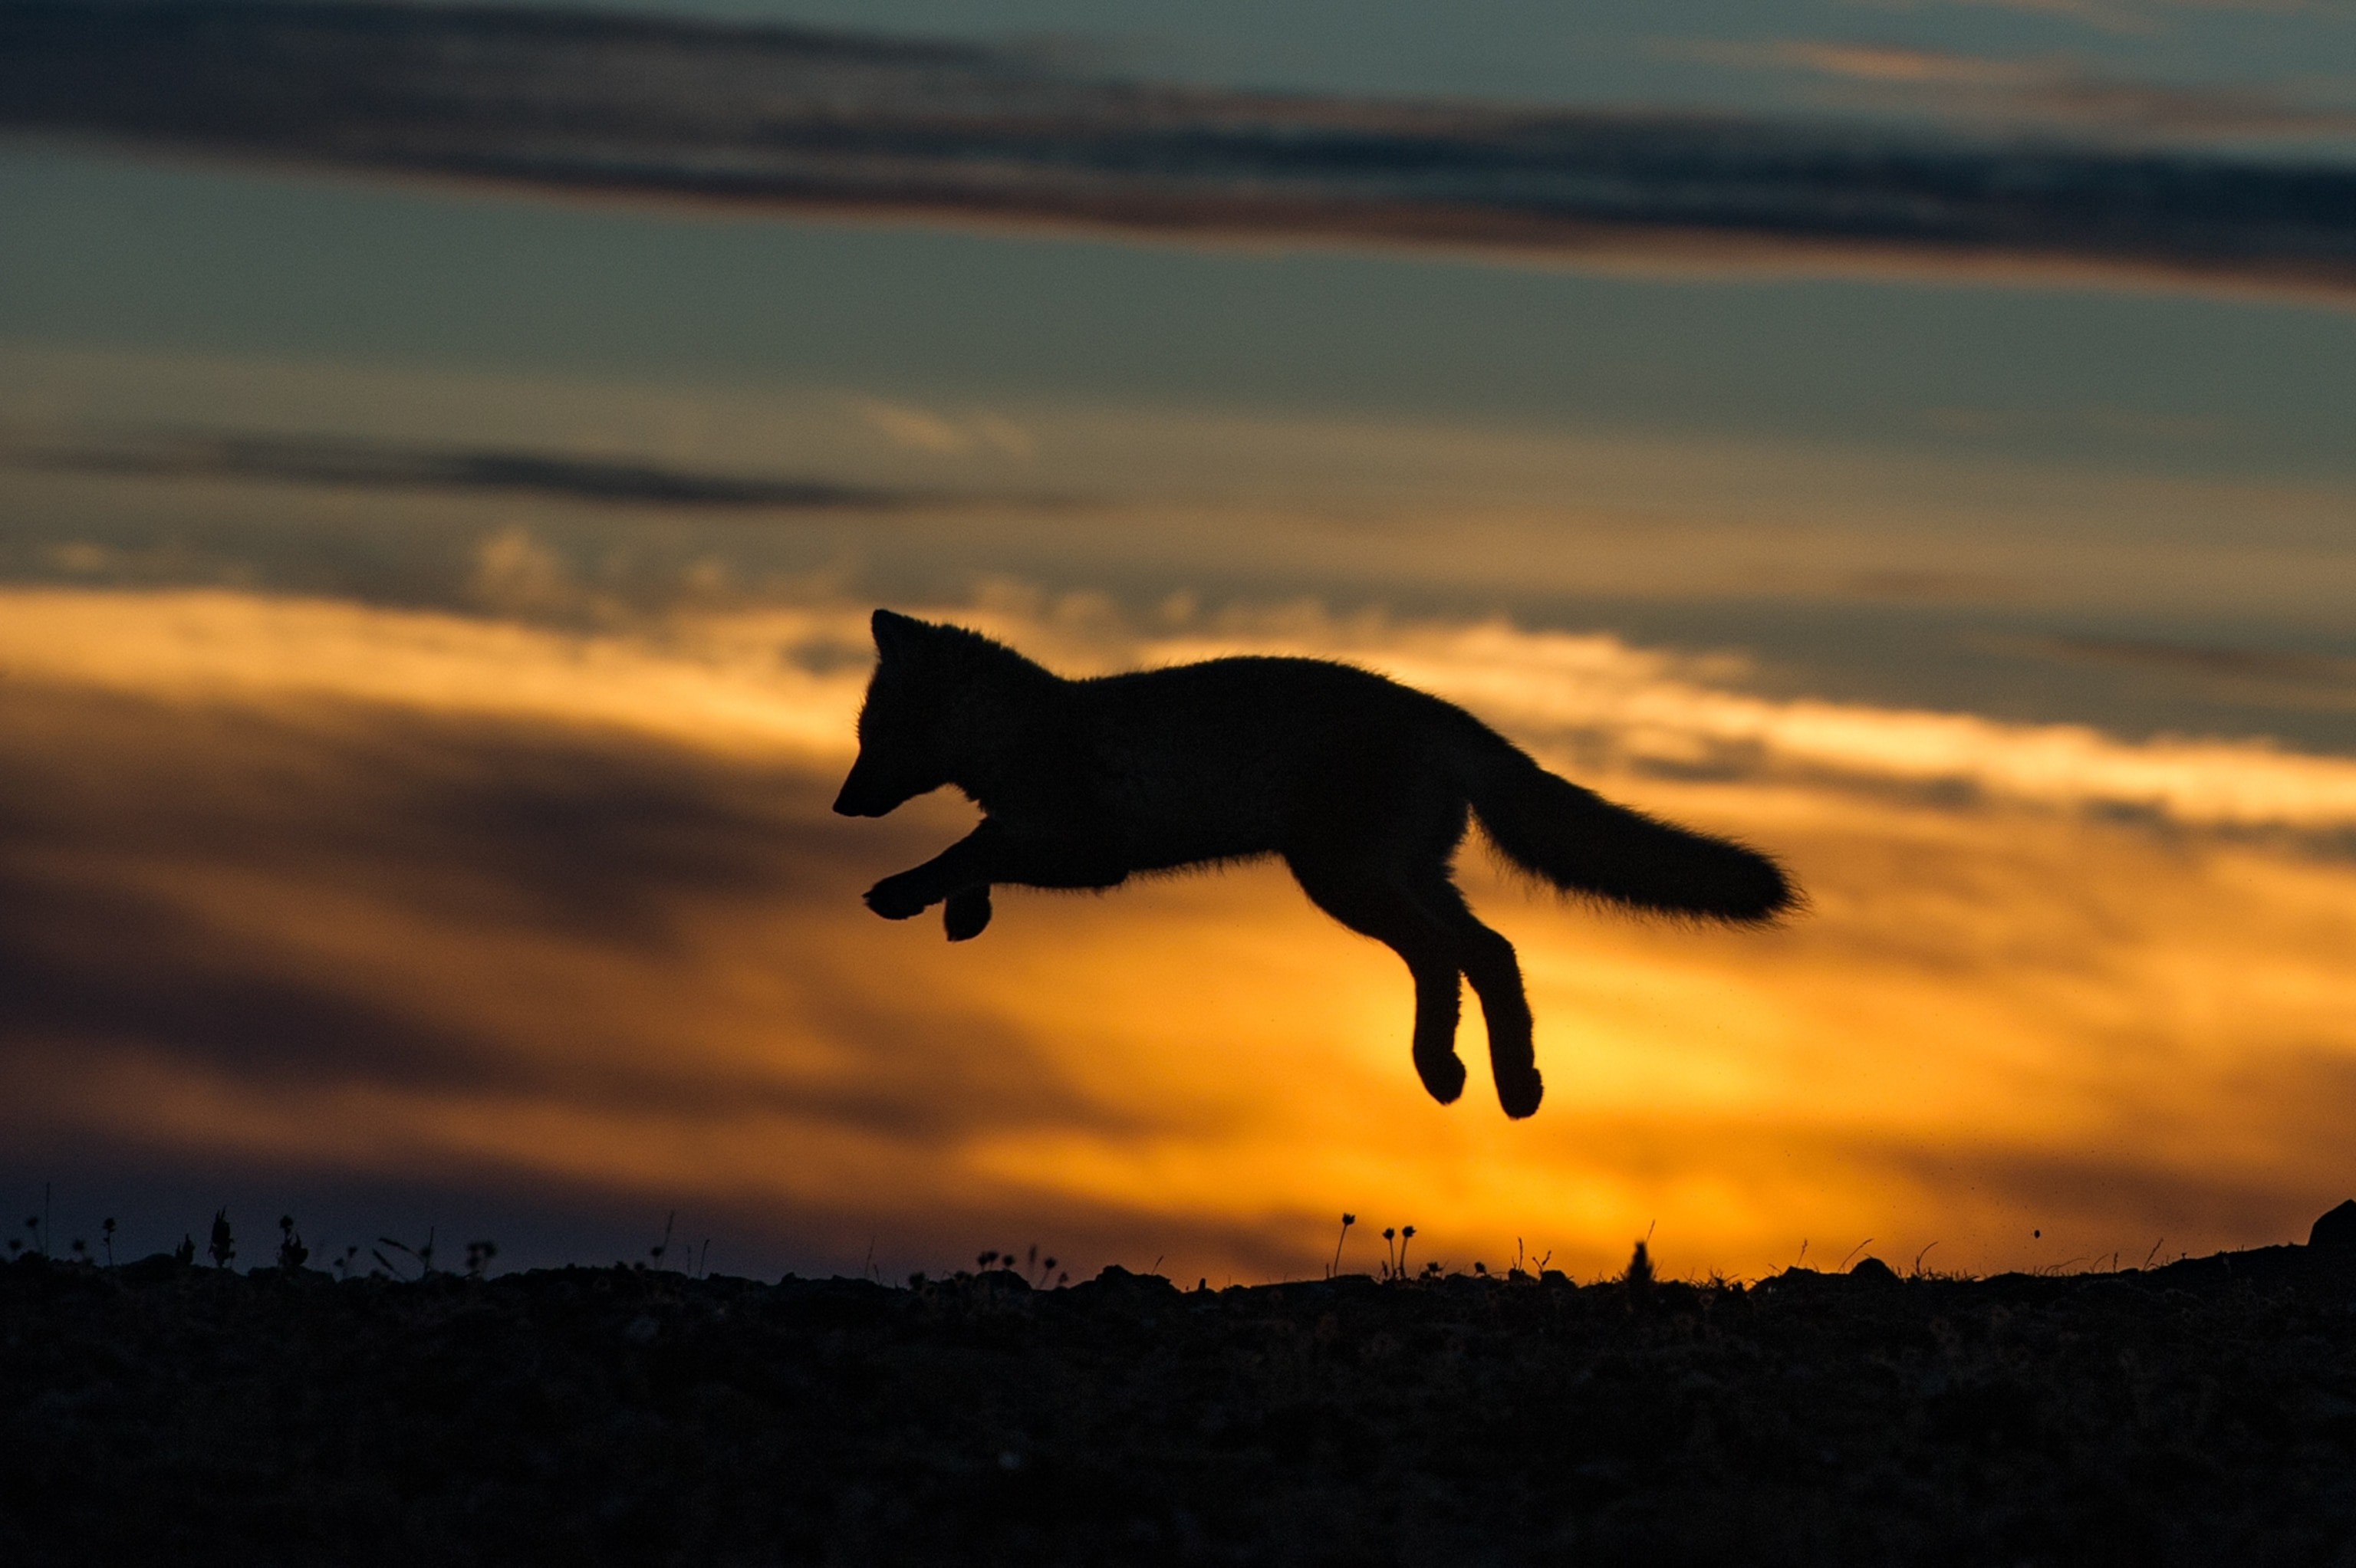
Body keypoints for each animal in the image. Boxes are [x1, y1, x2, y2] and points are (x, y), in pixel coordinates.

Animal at [838, 607, 1790, 1111]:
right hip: (1402, 875)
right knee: (1490, 950)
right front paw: (962, 912)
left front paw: (904, 892)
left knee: (1446, 954)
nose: (842, 804)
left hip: (1347, 881)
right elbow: (974, 854)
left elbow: (969, 845)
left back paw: (1442, 1068)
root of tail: (1441, 711)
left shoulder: (1086, 850)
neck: (1031, 731)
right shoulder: (1049, 837)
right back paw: (1512, 1082)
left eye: (874, 733)